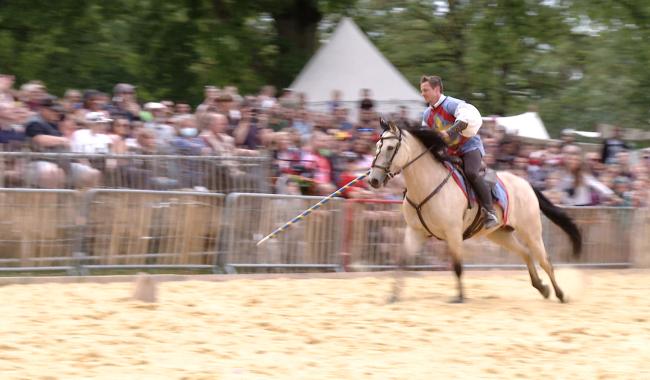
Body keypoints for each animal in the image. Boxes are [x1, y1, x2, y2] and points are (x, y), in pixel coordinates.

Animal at [368, 120, 580, 304]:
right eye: (377, 145)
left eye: (389, 148)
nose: (373, 180)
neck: (427, 185)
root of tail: (526, 184)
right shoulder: (415, 232)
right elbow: (401, 262)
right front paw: (393, 295)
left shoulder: (453, 233)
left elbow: (457, 266)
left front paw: (460, 297)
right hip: (500, 234)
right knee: (526, 253)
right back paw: (542, 287)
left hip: (531, 231)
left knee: (545, 261)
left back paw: (560, 294)